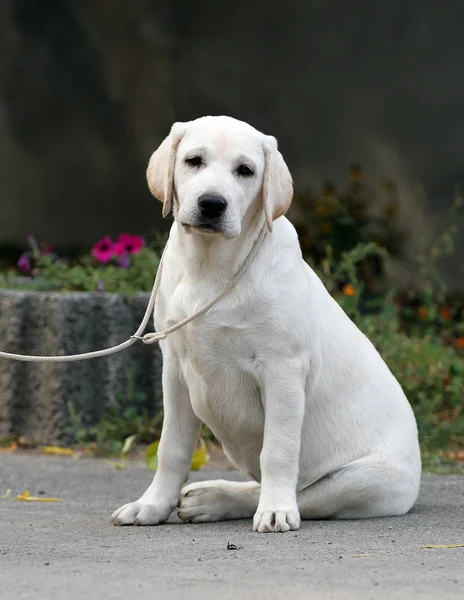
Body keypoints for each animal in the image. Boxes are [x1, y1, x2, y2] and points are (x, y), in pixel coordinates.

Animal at [110, 115, 422, 532]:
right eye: (193, 161)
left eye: (246, 171)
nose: (212, 203)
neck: (210, 267)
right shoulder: (175, 369)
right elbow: (171, 448)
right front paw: (151, 505)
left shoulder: (282, 372)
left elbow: (277, 450)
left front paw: (275, 510)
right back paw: (209, 497)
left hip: (362, 481)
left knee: (303, 493)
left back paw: (229, 500)